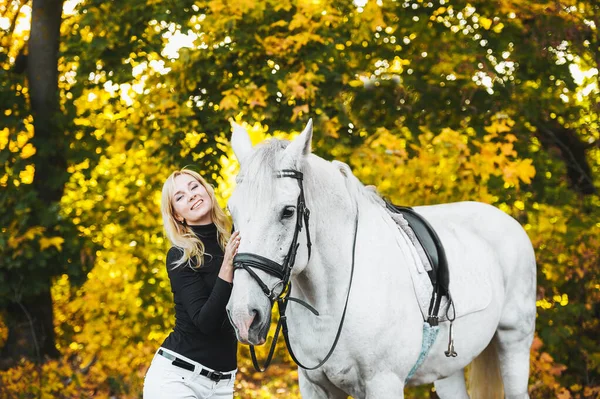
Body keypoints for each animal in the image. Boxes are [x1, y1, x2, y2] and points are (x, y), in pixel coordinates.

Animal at [227, 120, 536, 398]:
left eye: (288, 211)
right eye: (232, 210)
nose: (244, 317)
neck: (330, 303)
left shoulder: (384, 383)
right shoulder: (315, 386)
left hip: (514, 341)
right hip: (448, 369)